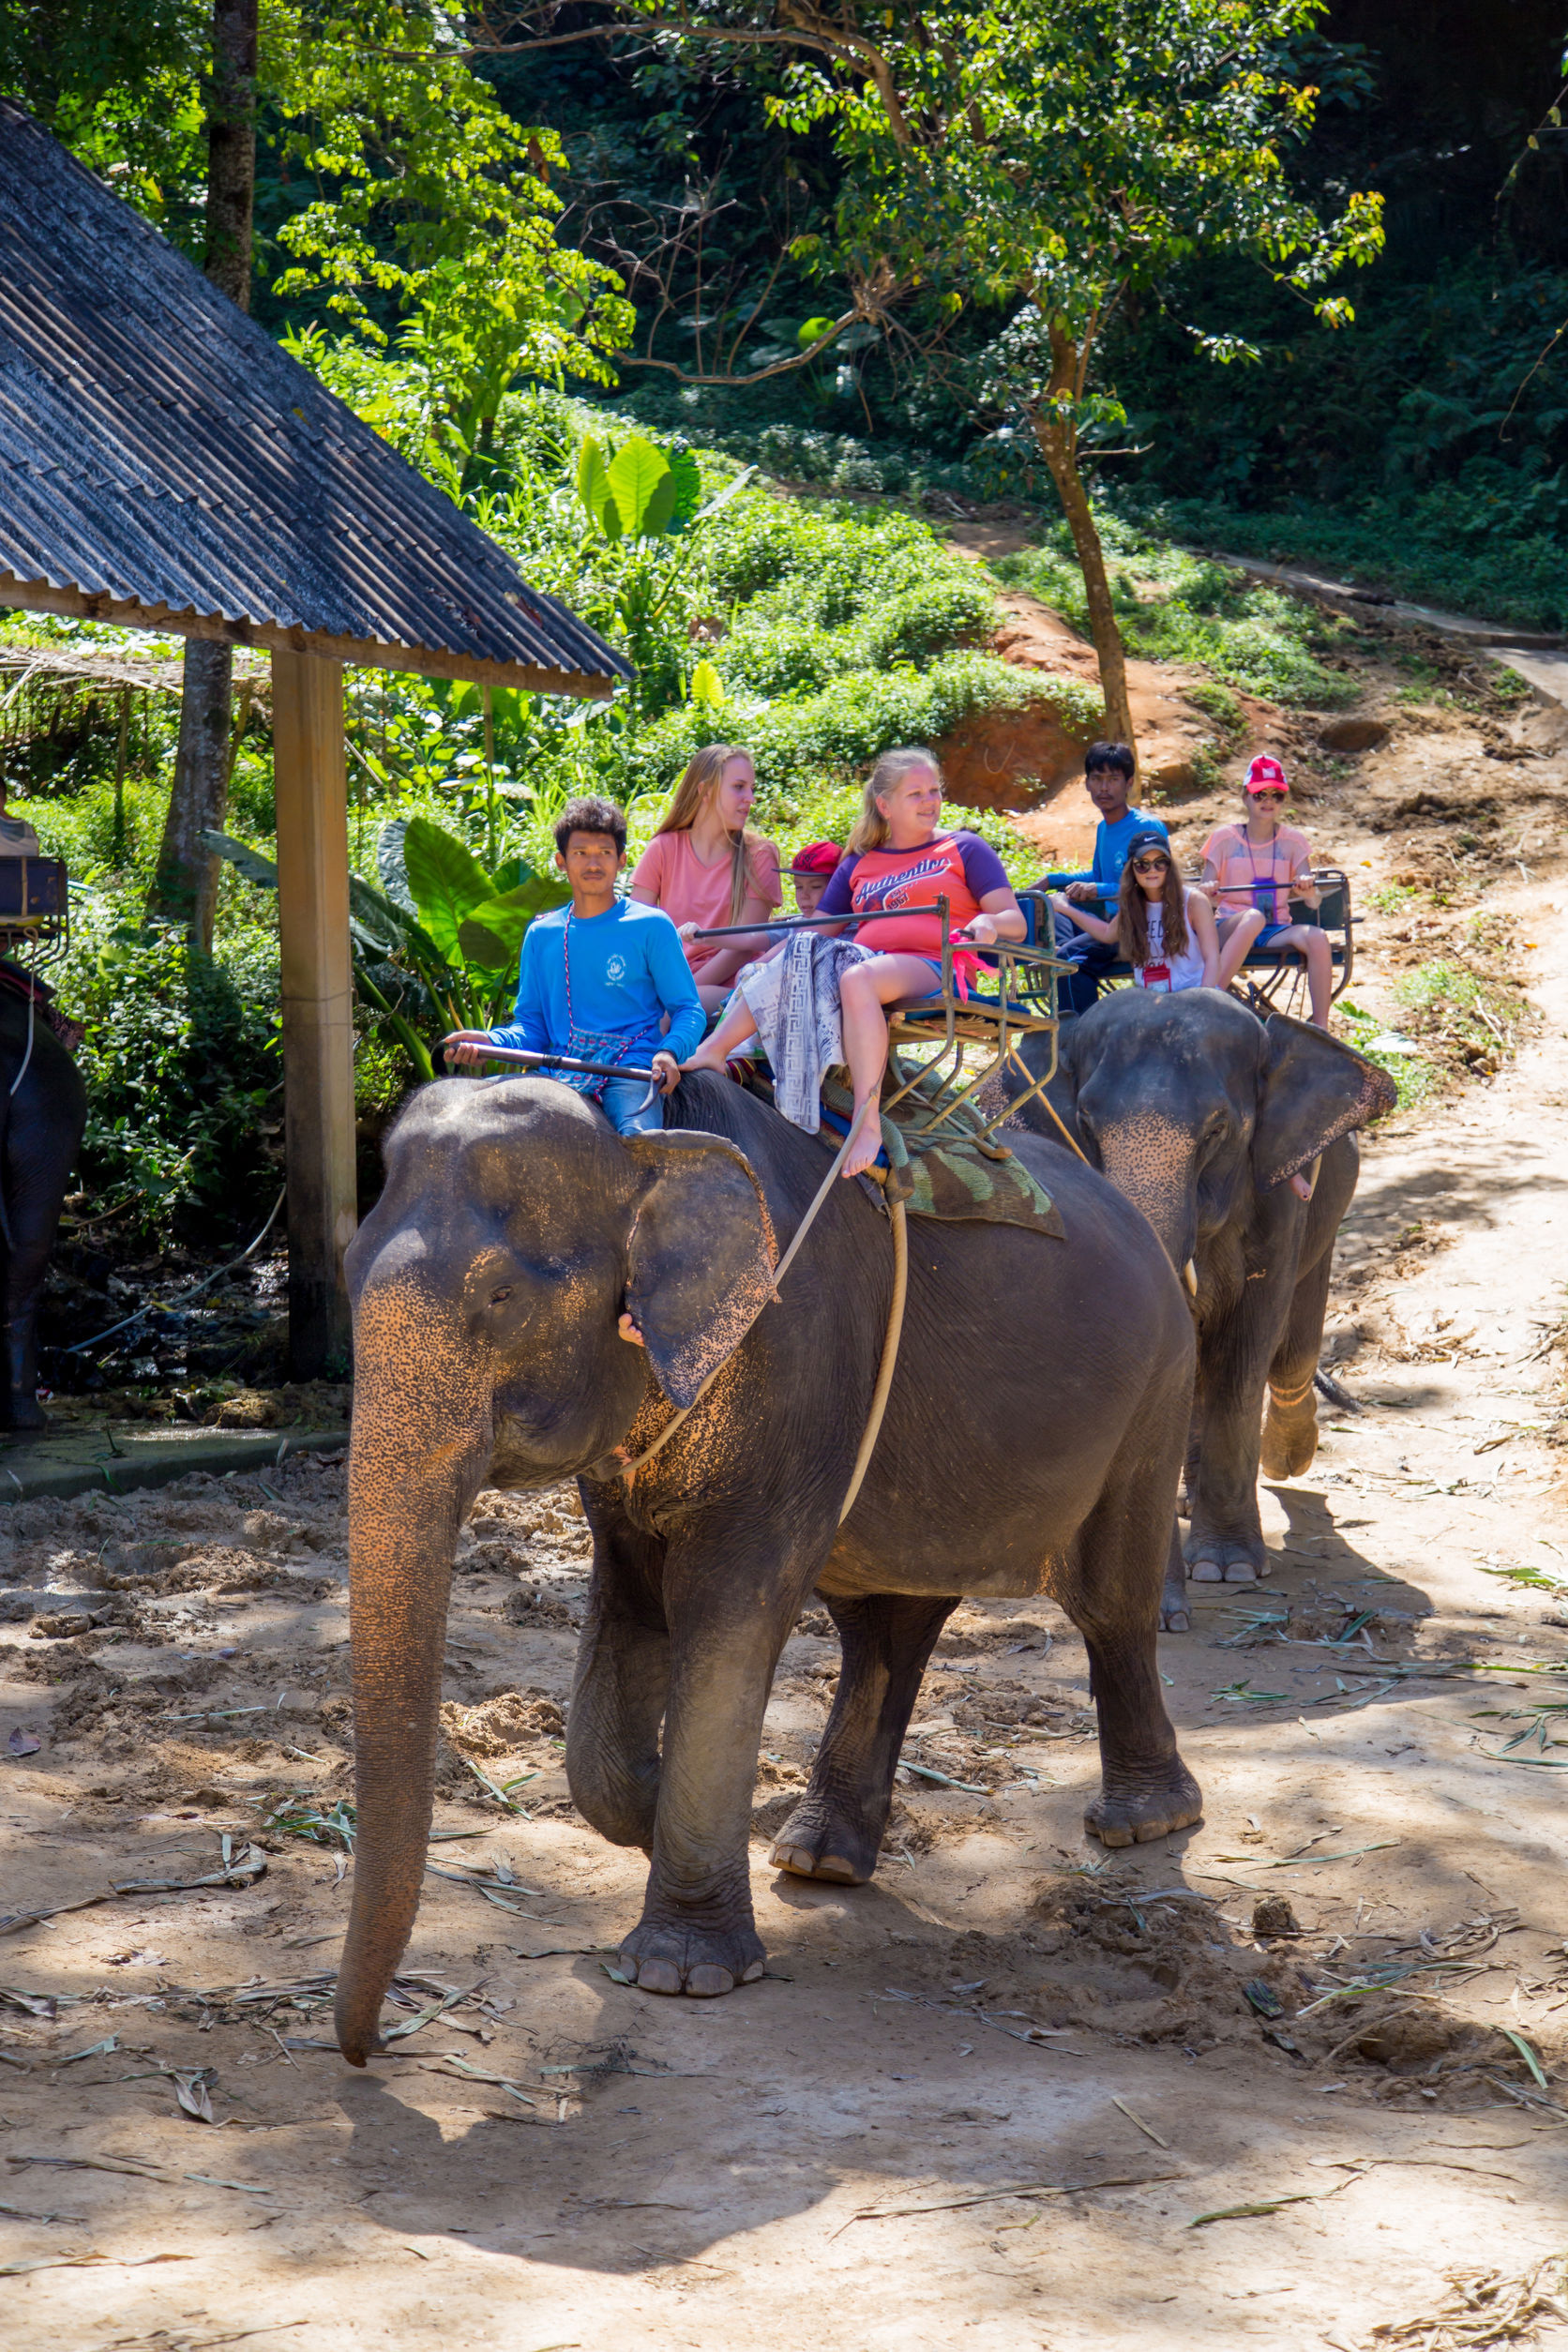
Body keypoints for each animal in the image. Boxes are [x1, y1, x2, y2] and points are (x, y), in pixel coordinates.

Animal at [333, 1067, 1203, 2060]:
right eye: (346, 1274)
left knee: (1110, 1600)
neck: (645, 1146)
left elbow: (728, 1612)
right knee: (884, 1625)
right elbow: (631, 1603)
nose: (371, 2051)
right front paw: (649, 1809)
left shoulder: (794, 1368)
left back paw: (1145, 1824)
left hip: (1157, 1391)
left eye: (502, 1299)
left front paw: (682, 1972)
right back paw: (817, 1859)